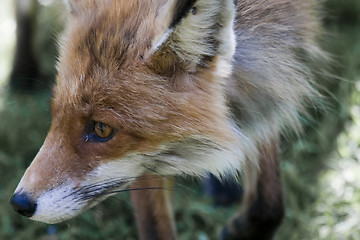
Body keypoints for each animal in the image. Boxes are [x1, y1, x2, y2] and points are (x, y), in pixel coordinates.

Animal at [9, 0, 322, 239]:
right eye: (55, 114)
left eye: (101, 129)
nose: (18, 203)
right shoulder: (144, 161)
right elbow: (155, 225)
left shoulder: (266, 90)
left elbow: (270, 204)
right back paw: (20, 68)